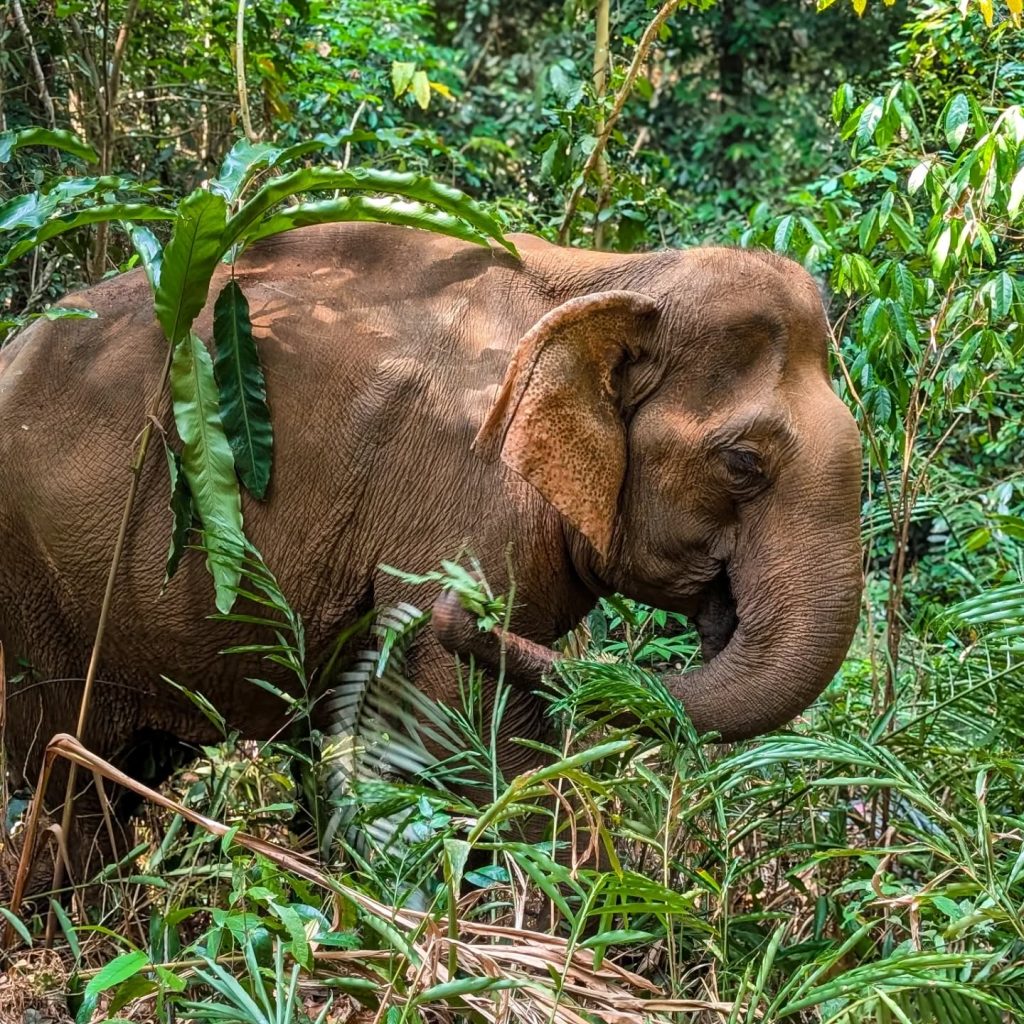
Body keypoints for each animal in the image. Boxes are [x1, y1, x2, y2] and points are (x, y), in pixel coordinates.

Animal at [0, 222, 862, 890]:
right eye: (742, 463)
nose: (448, 607)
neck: (615, 273)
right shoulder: (463, 504)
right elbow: (468, 730)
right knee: (62, 772)